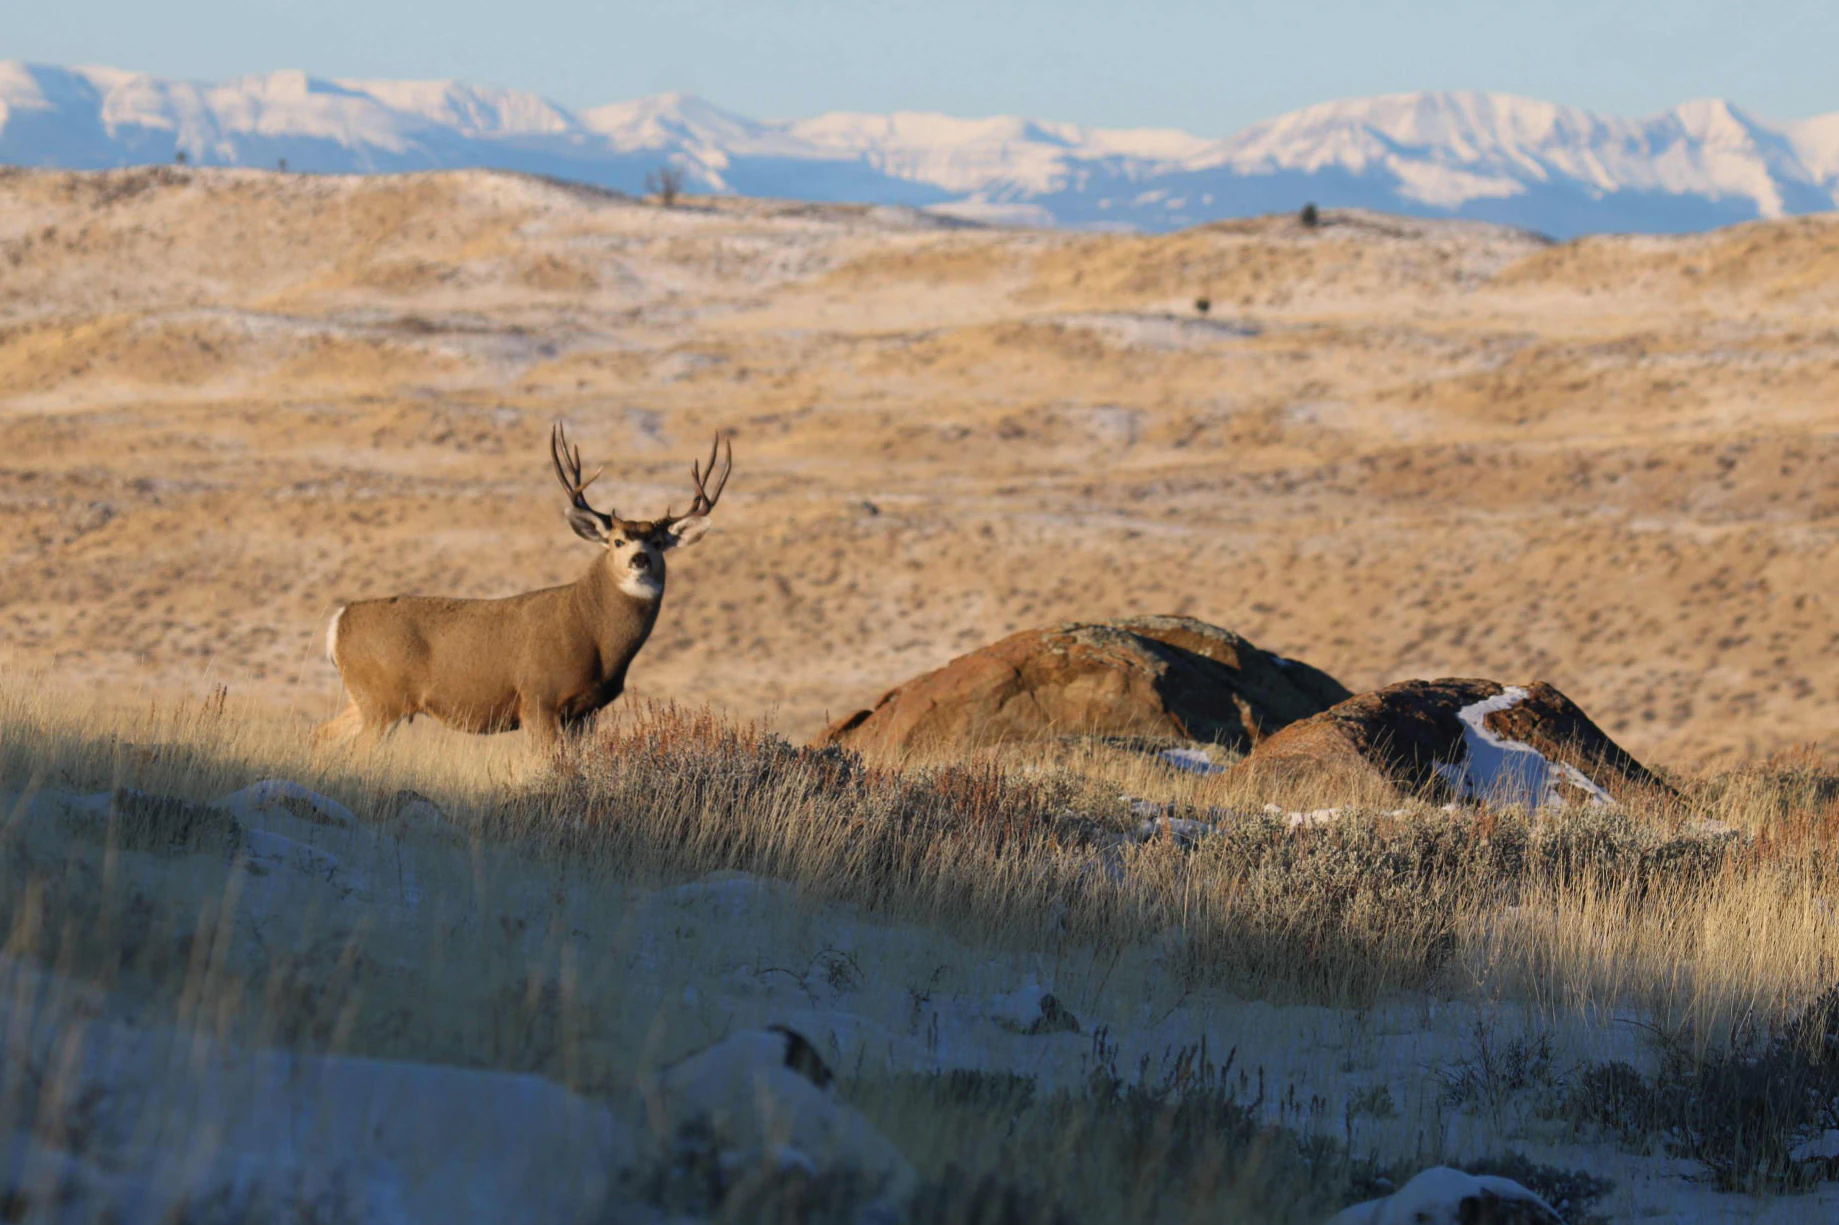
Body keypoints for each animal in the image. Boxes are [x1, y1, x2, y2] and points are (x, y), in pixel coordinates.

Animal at [316, 423, 732, 752]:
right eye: (616, 541)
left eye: (659, 542)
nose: (640, 559)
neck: (593, 631)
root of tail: (338, 622)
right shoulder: (537, 697)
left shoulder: (584, 713)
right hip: (383, 699)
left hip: (364, 700)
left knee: (320, 735)